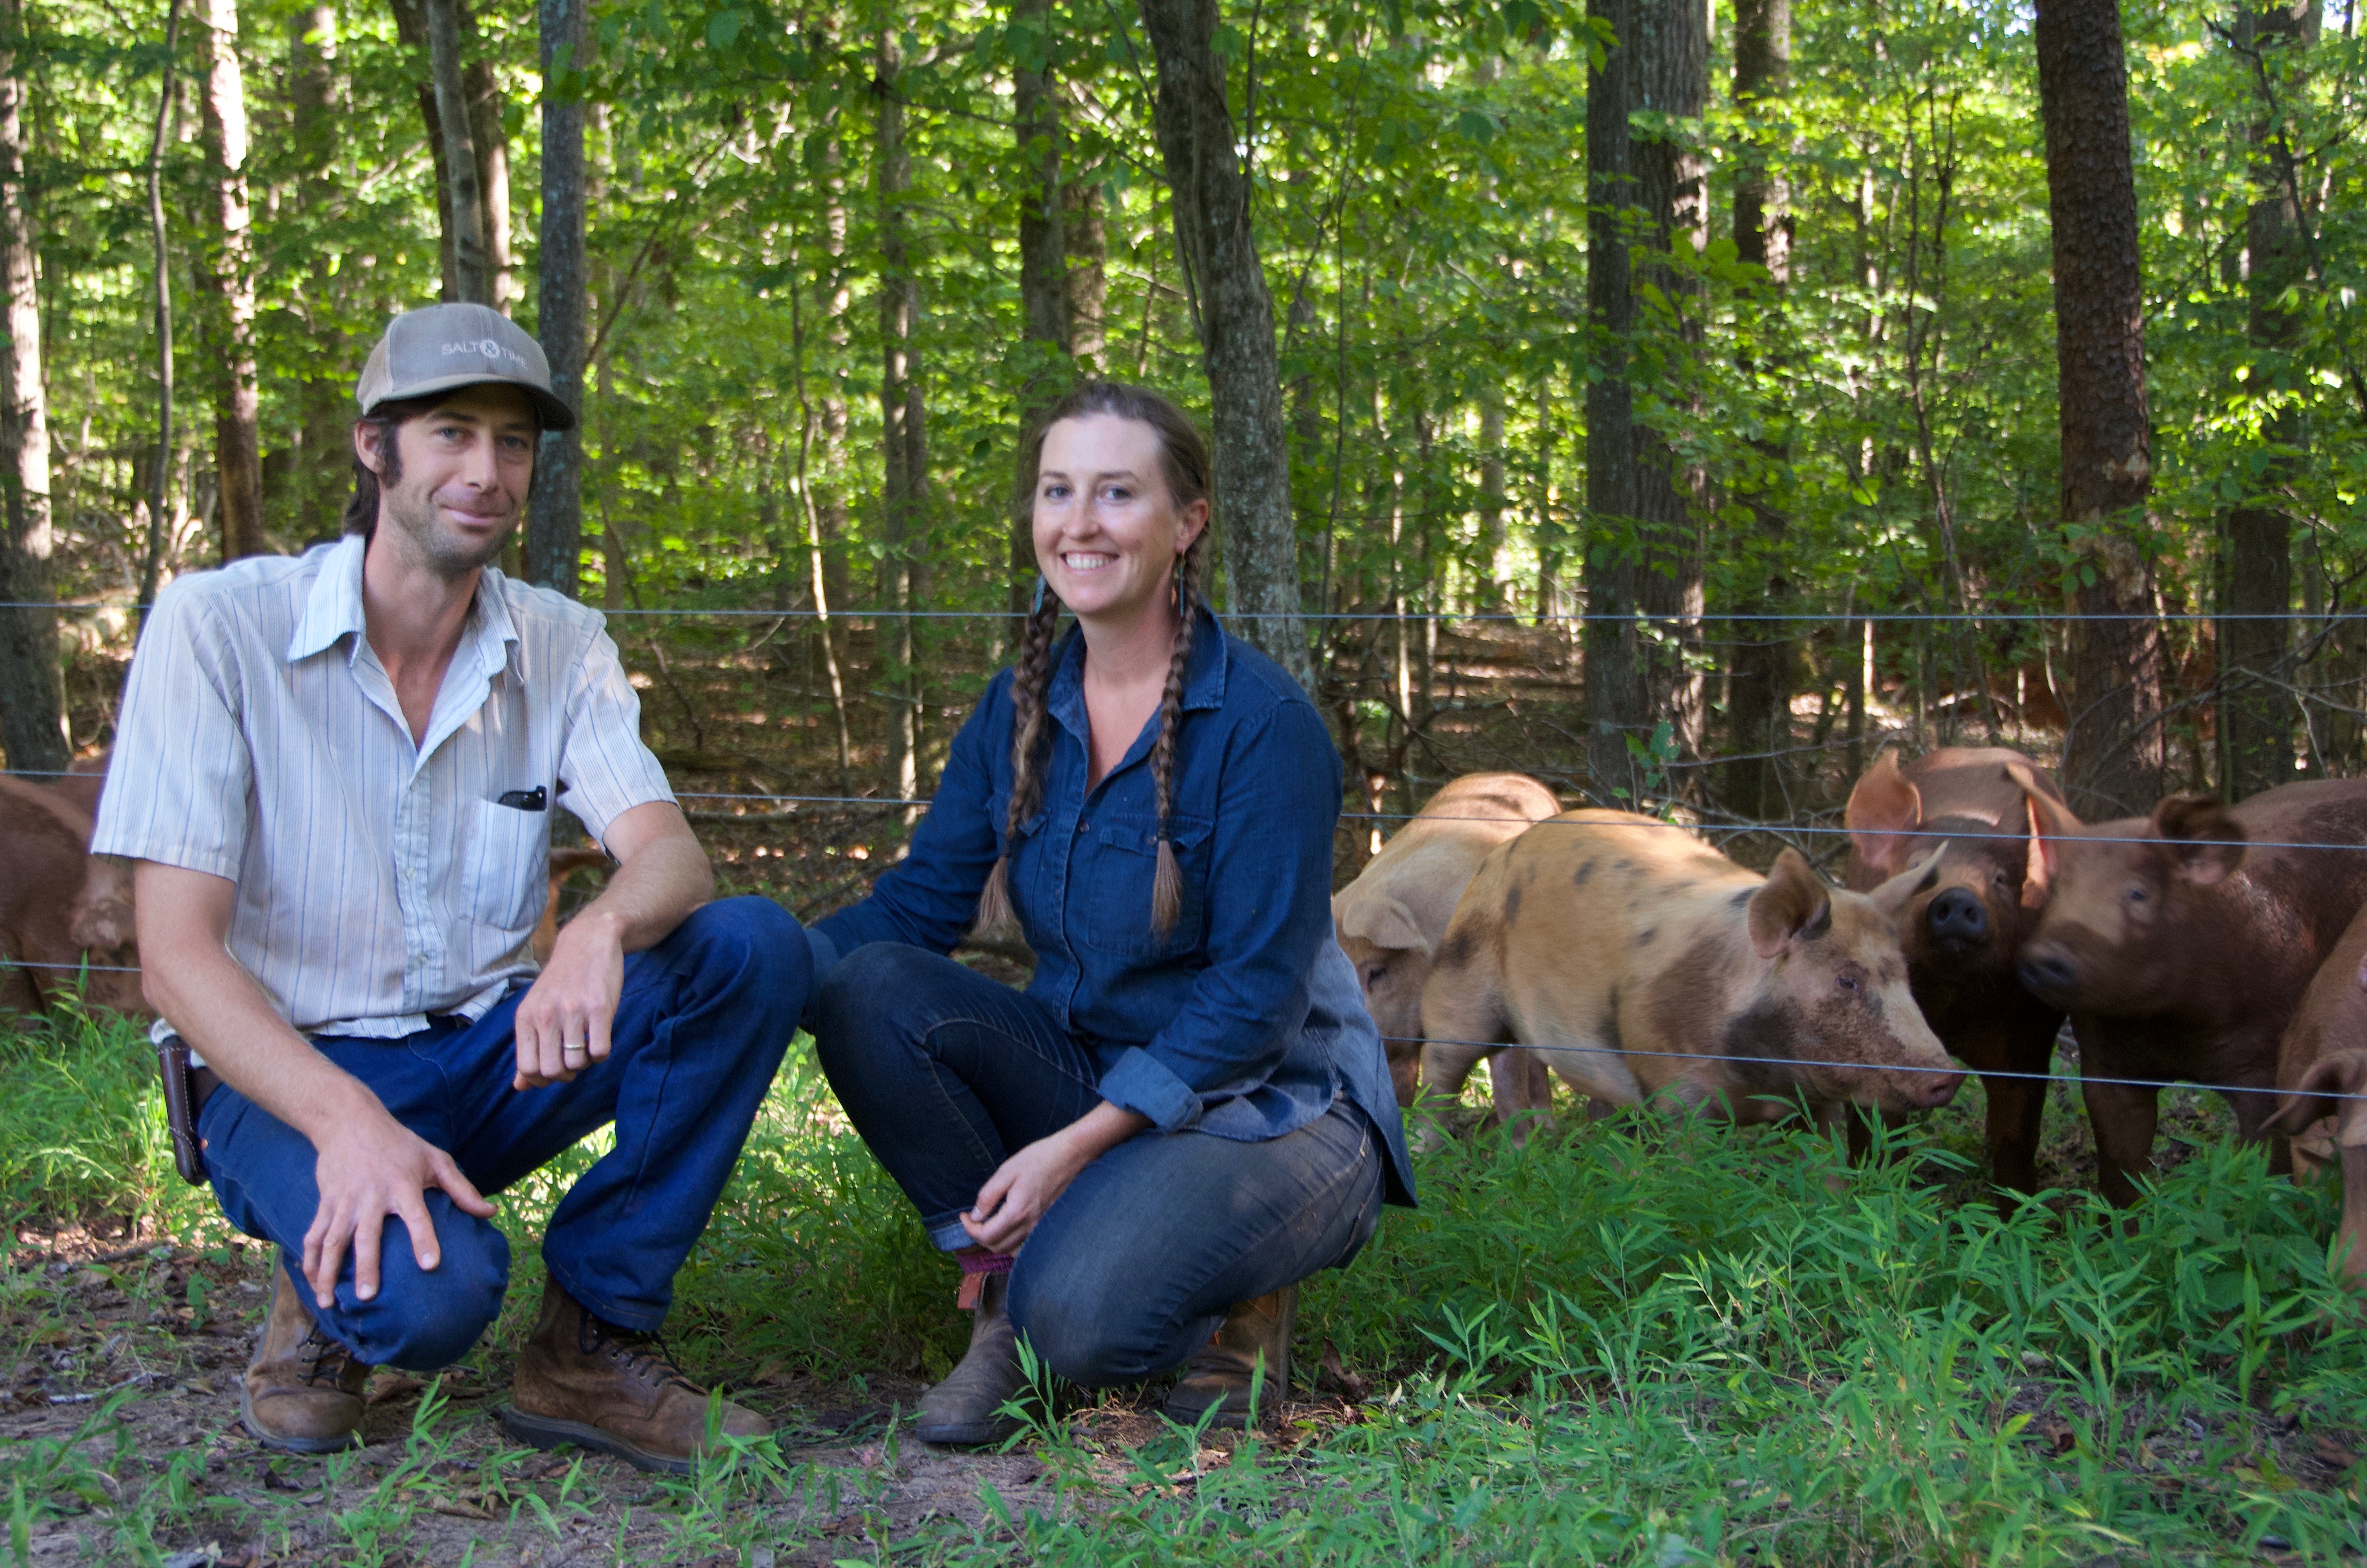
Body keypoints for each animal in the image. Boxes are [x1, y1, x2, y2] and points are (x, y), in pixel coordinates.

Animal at [1420, 810, 1960, 1132]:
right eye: (1846, 979)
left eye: (1905, 975)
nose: (1948, 1075)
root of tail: (1502, 850)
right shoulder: (1676, 1091)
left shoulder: (1822, 1104)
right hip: (1459, 985)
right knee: (1439, 1077)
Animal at [1846, 748, 2073, 1194]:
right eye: (1915, 866)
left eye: (2000, 879)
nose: (1955, 897)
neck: (1947, 1004)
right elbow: (1878, 1132)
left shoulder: (2028, 1038)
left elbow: (2016, 1142)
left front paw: (2018, 1206)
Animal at [2016, 781, 2367, 1208]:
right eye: (2054, 890)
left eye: (2138, 893)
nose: (2042, 956)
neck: (2170, 1026)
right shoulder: (2104, 1062)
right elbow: (2120, 1162)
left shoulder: (2268, 1063)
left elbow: (2269, 1161)